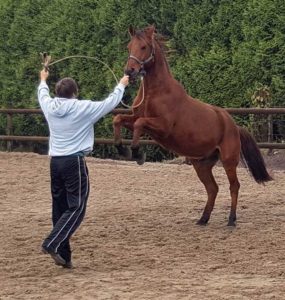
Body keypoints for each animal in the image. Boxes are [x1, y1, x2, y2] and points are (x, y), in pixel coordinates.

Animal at [112, 25, 270, 226]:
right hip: (201, 164)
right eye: (128, 46)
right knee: (212, 188)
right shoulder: (136, 119)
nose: (129, 71)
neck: (156, 92)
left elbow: (139, 124)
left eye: (144, 47)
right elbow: (118, 119)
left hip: (229, 161)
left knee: (234, 186)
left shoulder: (162, 126)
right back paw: (203, 219)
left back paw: (231, 220)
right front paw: (122, 149)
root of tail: (234, 126)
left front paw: (137, 153)